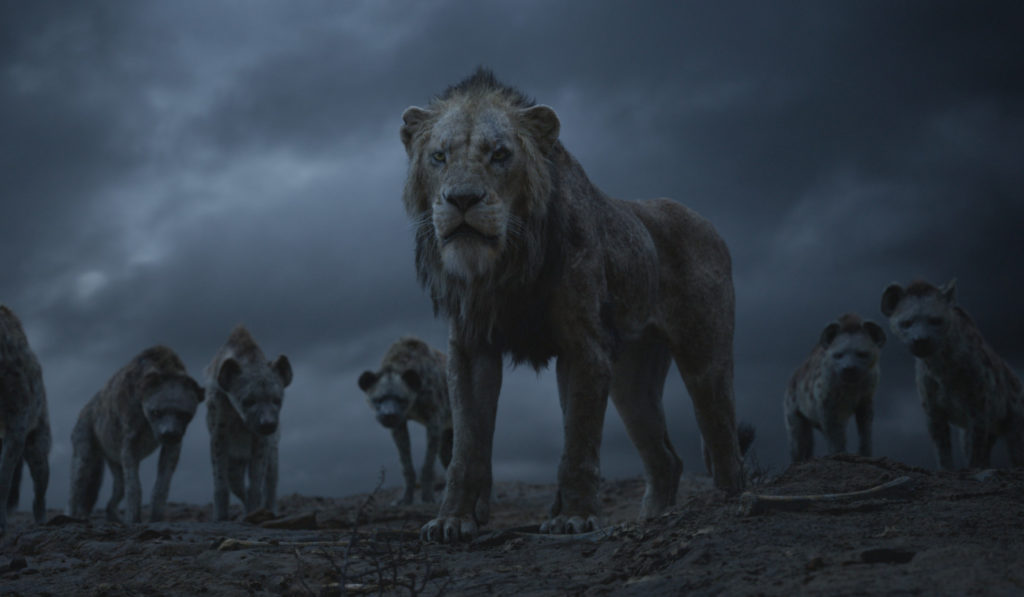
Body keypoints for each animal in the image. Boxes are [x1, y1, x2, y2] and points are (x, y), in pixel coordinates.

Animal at [401, 69, 744, 542]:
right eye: (438, 156)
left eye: (500, 154)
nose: (462, 199)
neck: (505, 264)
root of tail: (710, 225)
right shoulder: (470, 349)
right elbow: (466, 446)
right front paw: (453, 519)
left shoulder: (584, 345)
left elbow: (578, 440)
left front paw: (575, 517)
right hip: (631, 381)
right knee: (666, 459)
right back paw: (652, 518)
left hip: (704, 356)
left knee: (721, 432)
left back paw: (726, 502)